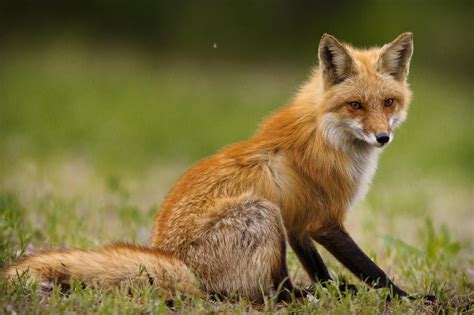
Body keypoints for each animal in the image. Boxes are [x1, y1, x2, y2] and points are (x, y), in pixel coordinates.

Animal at [6, 32, 426, 304]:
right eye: (356, 105)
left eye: (388, 102)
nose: (382, 137)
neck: (326, 132)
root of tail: (176, 262)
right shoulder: (324, 219)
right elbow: (372, 270)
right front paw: (407, 298)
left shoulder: (298, 221)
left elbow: (318, 267)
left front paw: (335, 290)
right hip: (262, 213)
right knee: (262, 294)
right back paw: (299, 297)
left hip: (273, 223)